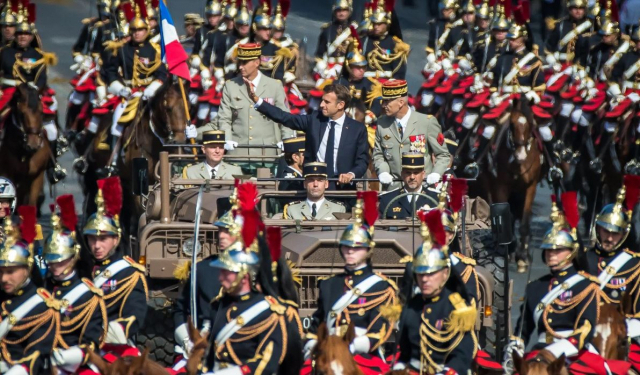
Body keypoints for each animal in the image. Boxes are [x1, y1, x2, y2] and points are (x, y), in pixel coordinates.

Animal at [478, 97, 544, 274]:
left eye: (531, 124)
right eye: (512, 124)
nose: (520, 155)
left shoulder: (530, 187)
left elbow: (524, 220)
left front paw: (522, 256)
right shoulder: (500, 187)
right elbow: (503, 216)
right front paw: (510, 247)